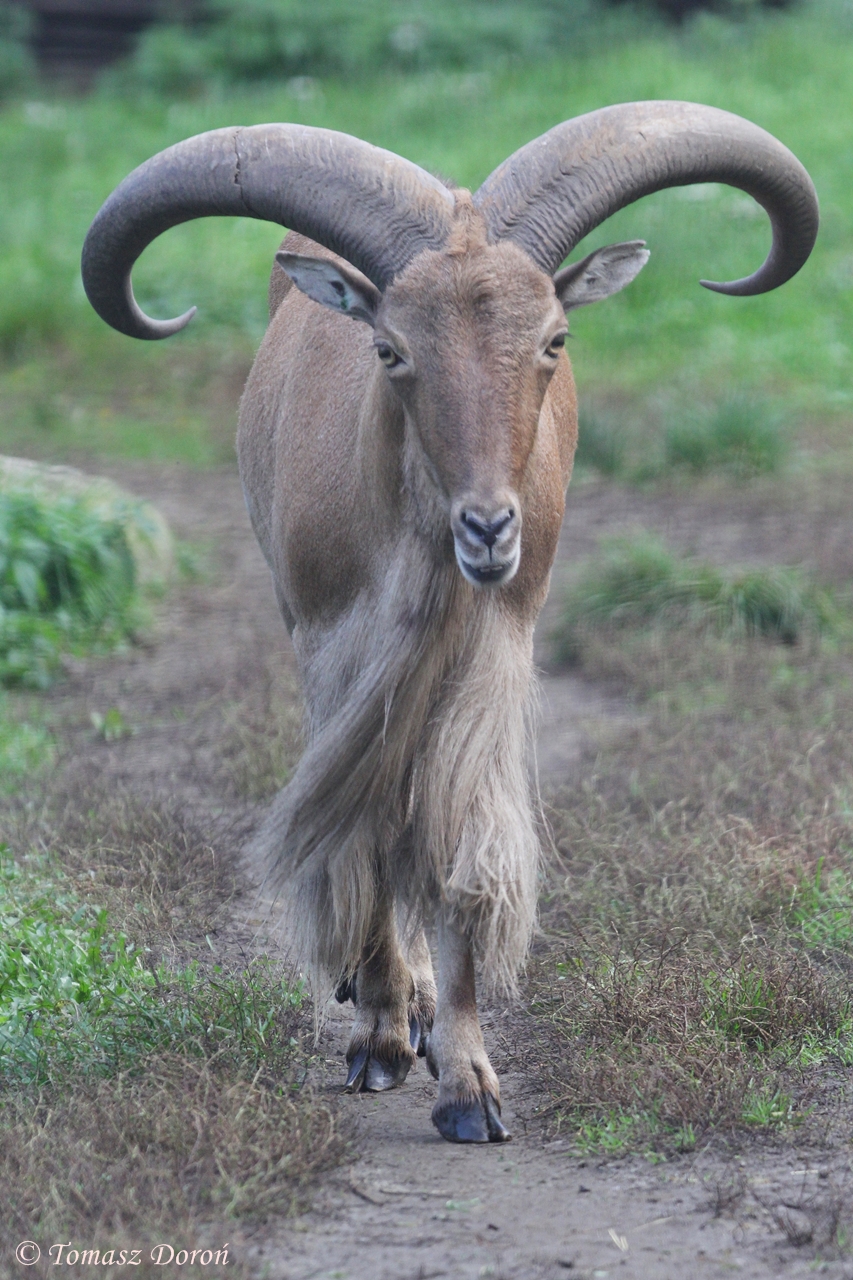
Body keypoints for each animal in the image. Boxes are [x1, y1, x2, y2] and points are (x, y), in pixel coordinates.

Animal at [82, 101, 817, 1143]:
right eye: (391, 351)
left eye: (554, 339)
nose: (488, 528)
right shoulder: (339, 655)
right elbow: (367, 832)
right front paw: (381, 1039)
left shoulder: (490, 654)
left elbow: (460, 846)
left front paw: (469, 1084)